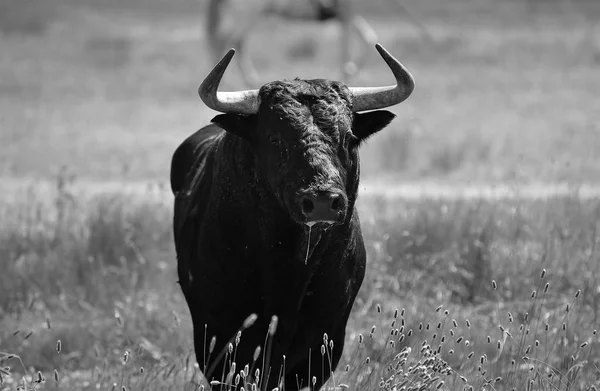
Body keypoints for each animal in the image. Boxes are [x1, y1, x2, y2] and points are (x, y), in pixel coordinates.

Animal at [169, 44, 412, 390]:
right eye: (275, 138)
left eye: (348, 137)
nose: (322, 201)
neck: (288, 271)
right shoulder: (218, 334)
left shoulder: (325, 339)